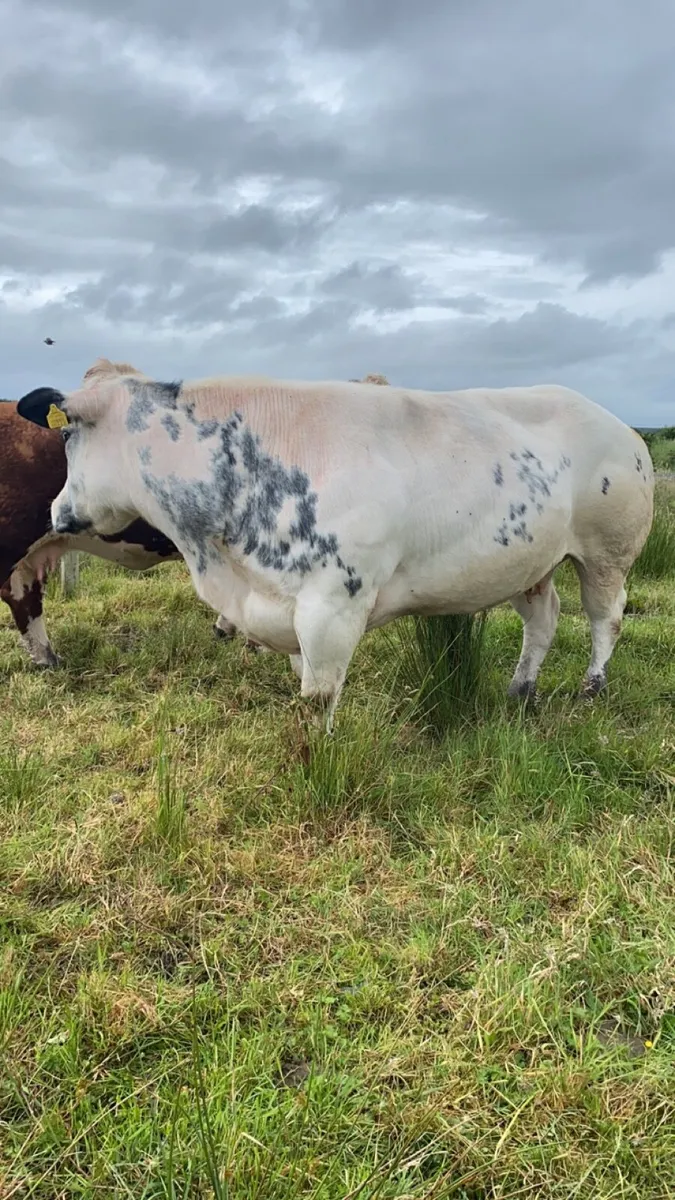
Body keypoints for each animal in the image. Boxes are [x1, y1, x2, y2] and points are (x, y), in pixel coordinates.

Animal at [16, 372, 654, 730]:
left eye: (66, 434)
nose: (56, 511)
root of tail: (624, 428)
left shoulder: (334, 605)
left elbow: (318, 696)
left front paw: (315, 758)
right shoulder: (285, 604)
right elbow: (300, 679)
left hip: (608, 550)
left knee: (606, 617)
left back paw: (591, 688)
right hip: (531, 560)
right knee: (543, 619)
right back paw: (521, 690)